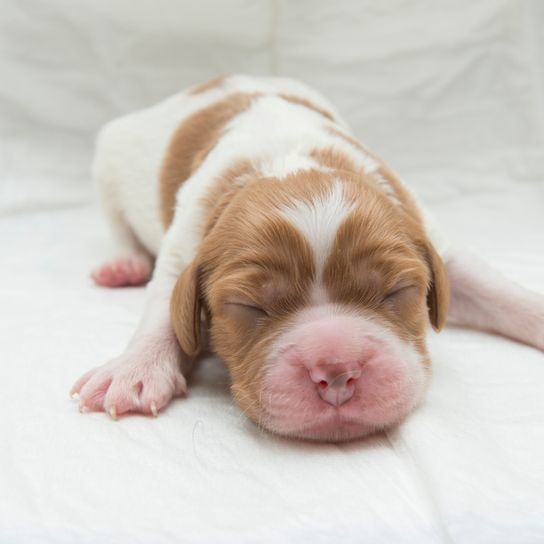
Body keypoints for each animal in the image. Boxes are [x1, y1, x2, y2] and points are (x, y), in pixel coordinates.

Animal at [71, 74, 544, 442]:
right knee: (118, 226)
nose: (336, 372)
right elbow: (162, 310)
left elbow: (496, 290)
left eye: (398, 291)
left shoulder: (432, 238)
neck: (290, 162)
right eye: (248, 306)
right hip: (106, 161)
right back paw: (123, 265)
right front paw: (133, 370)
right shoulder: (183, 247)